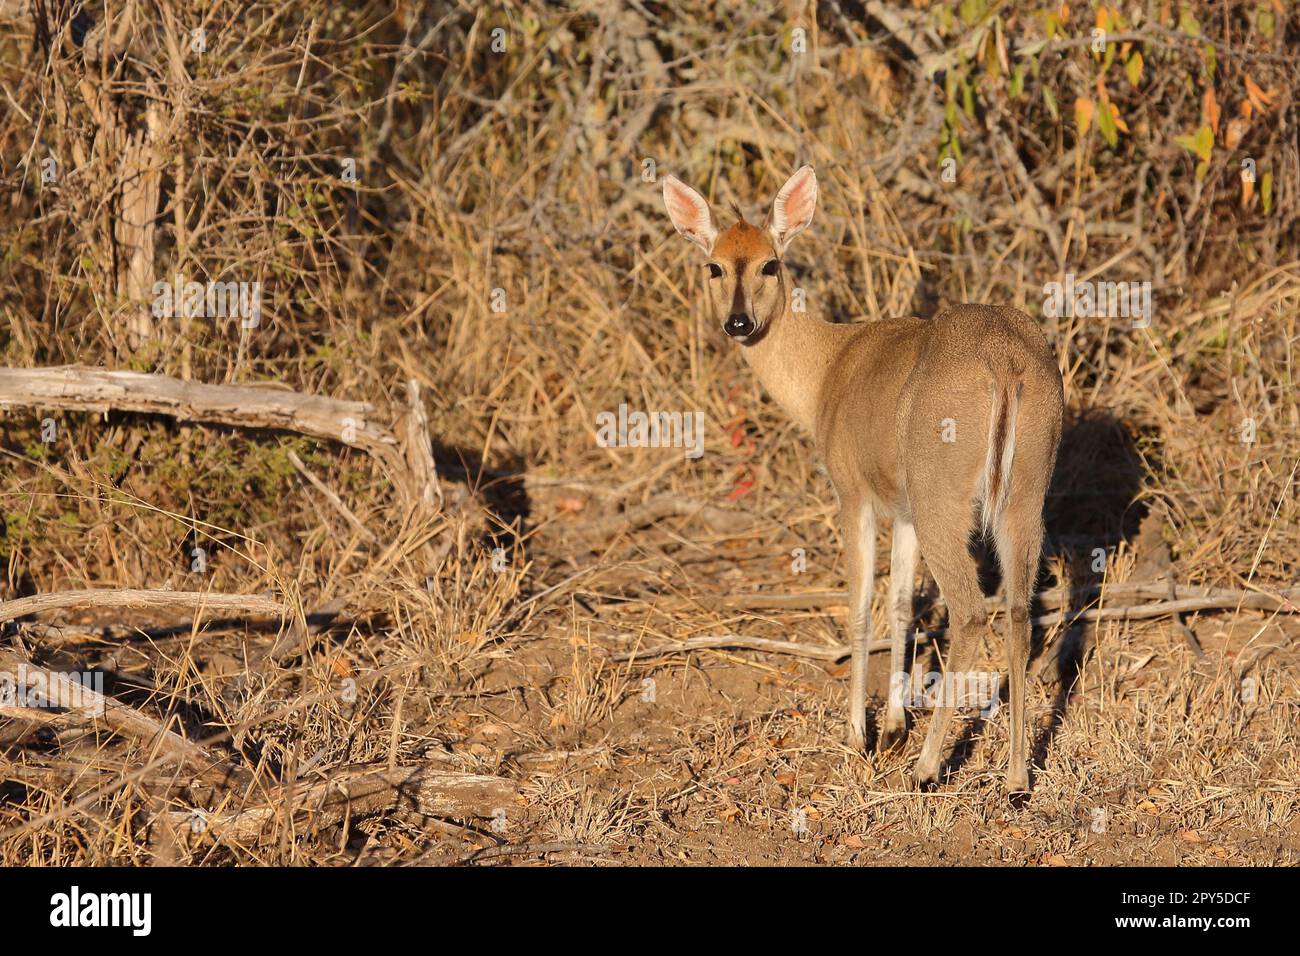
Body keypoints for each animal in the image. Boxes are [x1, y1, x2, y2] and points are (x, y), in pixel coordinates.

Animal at [665, 164, 1060, 790]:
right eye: (714, 265)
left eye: (769, 263)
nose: (738, 322)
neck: (826, 372)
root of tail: (1006, 366)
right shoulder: (900, 507)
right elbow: (899, 603)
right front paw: (894, 725)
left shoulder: (854, 493)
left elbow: (858, 604)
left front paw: (860, 735)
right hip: (1024, 493)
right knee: (1020, 610)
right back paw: (1017, 778)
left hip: (943, 497)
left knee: (972, 610)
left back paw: (927, 768)